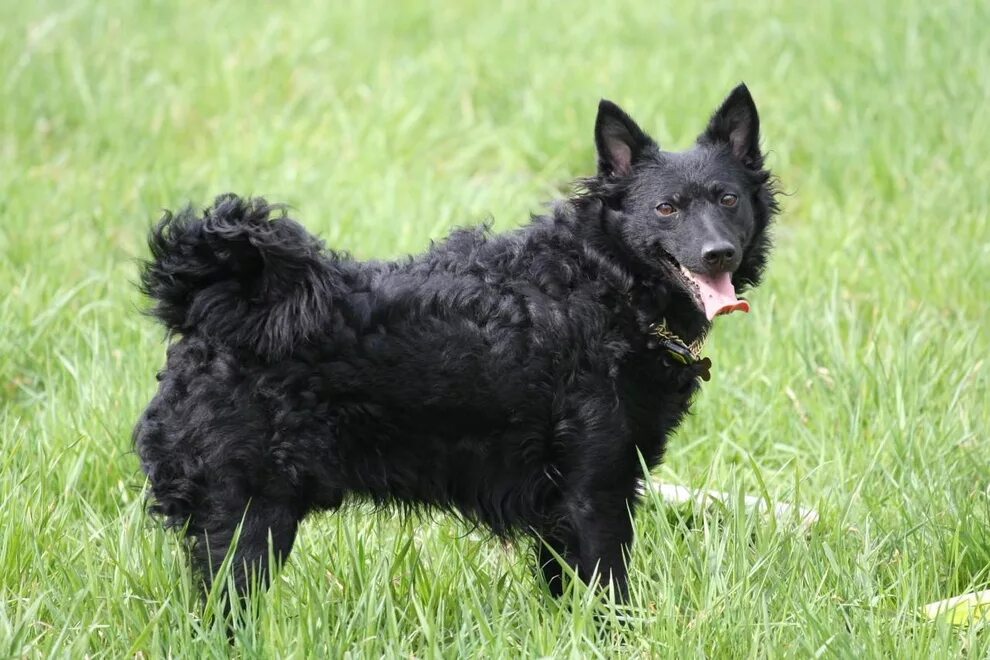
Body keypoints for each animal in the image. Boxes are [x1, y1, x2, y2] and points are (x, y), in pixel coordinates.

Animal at [134, 85, 784, 604]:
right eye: (666, 208)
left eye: (728, 199)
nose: (718, 255)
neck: (604, 283)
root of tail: (207, 309)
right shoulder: (595, 492)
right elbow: (608, 597)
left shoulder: (561, 510)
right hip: (247, 520)